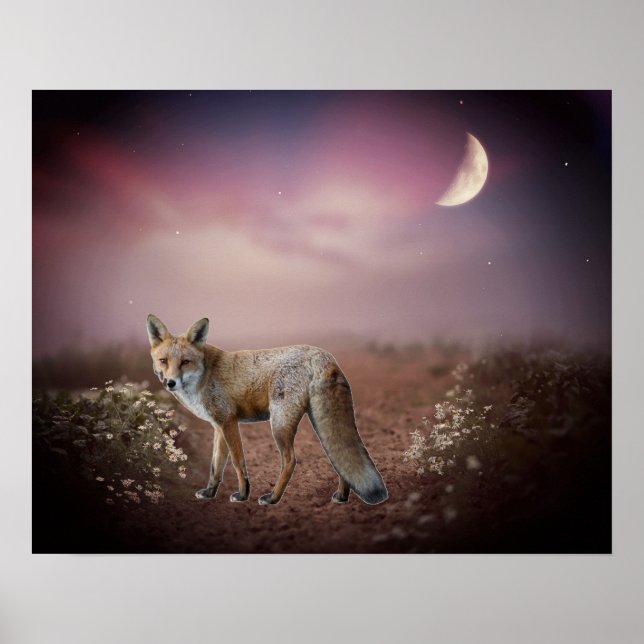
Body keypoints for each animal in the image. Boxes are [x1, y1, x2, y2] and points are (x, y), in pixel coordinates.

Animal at [146, 314, 388, 506]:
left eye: (185, 362)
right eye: (163, 361)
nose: (170, 383)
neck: (205, 375)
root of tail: (324, 356)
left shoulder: (228, 421)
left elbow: (238, 463)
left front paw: (243, 495)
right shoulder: (218, 426)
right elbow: (216, 465)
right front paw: (209, 492)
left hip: (279, 424)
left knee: (291, 461)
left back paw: (273, 498)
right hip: (318, 422)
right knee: (338, 458)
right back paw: (342, 496)